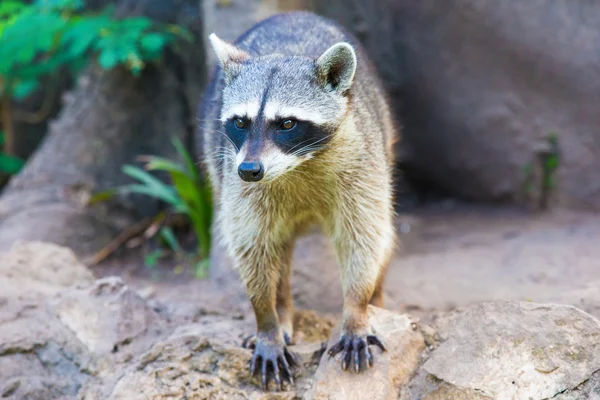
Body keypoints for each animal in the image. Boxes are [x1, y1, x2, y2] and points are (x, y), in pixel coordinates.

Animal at [200, 10, 398, 390]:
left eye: (287, 123)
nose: (250, 169)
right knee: (276, 250)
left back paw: (377, 298)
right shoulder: (238, 180)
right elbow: (252, 247)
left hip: (383, 133)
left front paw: (356, 309)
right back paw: (282, 309)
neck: (297, 165)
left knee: (384, 235)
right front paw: (267, 321)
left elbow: (363, 237)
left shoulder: (361, 165)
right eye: (240, 122)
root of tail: (292, 13)